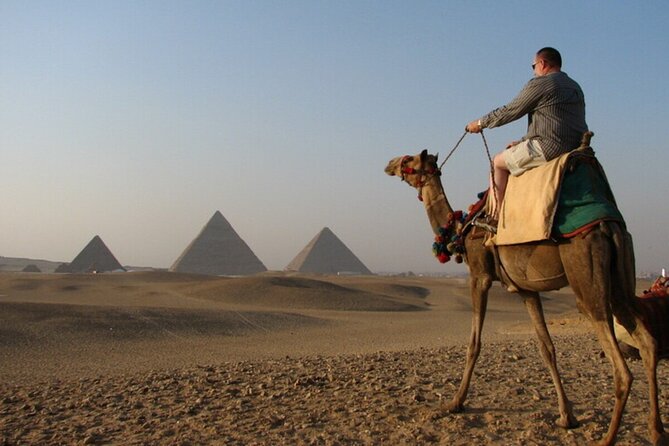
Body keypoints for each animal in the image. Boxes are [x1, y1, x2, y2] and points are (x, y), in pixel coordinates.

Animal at [385, 145, 665, 445]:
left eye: (409, 159)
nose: (389, 164)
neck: (461, 229)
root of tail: (608, 226)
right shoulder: (526, 290)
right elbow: (547, 348)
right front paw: (567, 416)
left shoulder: (479, 276)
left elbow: (474, 343)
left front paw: (455, 402)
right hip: (621, 277)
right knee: (647, 342)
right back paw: (656, 430)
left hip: (586, 278)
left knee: (622, 369)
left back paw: (608, 438)